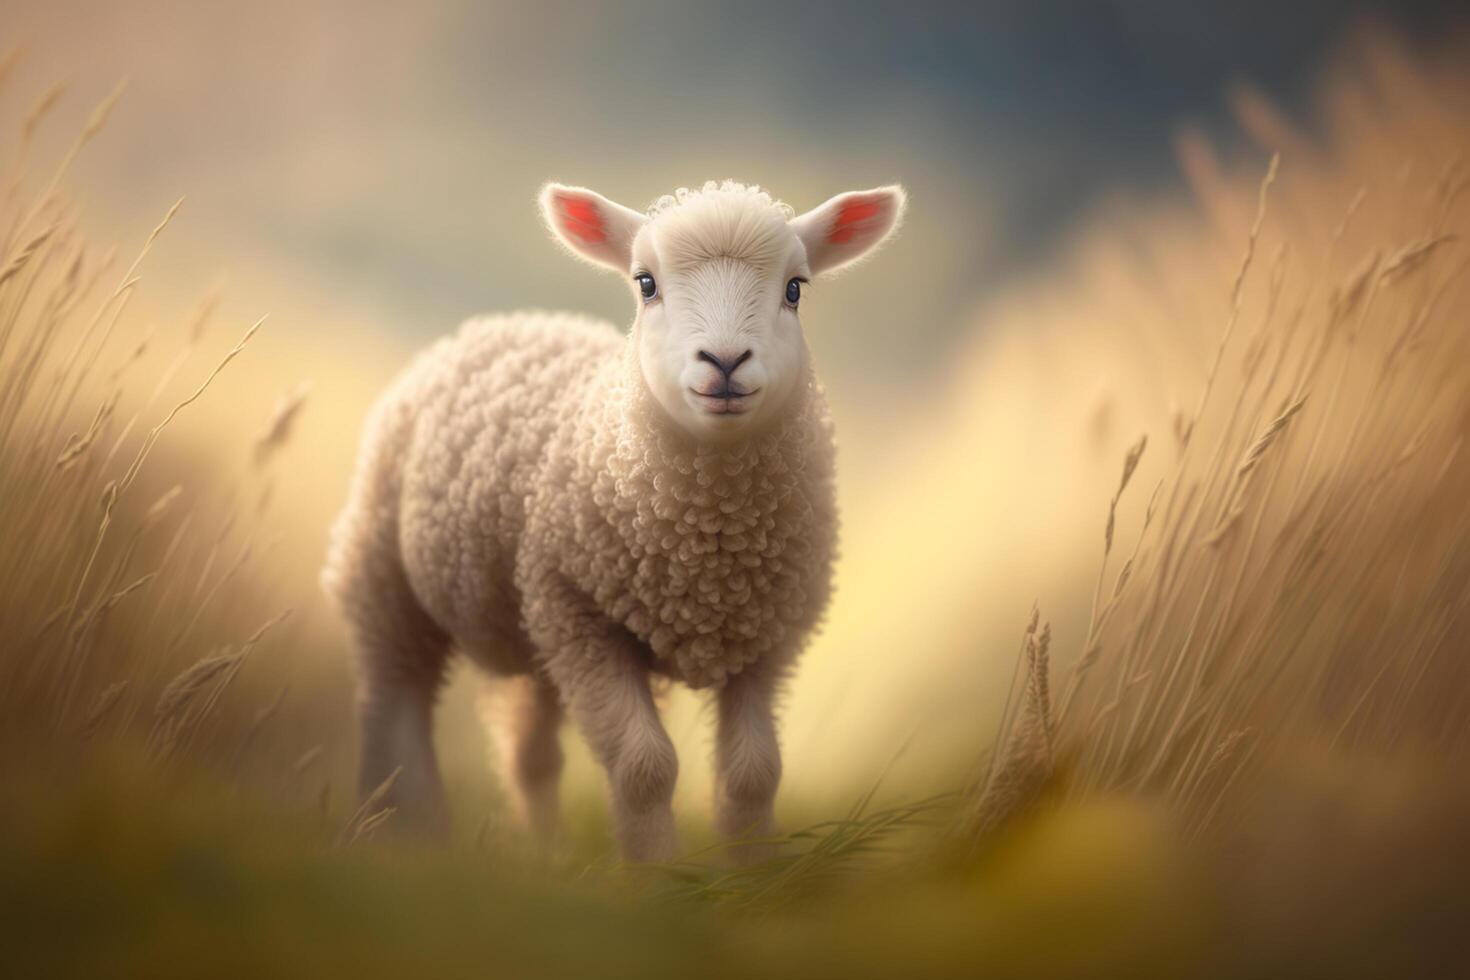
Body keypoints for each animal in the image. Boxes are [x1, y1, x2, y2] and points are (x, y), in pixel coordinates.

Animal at [321, 179, 905, 863]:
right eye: (645, 283)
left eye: (795, 289)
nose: (725, 360)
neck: (712, 547)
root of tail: (515, 319)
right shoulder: (583, 617)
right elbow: (644, 766)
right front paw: (657, 872)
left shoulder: (770, 638)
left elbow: (755, 773)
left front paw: (752, 867)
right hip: (387, 571)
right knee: (394, 704)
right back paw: (407, 831)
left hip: (534, 627)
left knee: (530, 752)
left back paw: (543, 852)